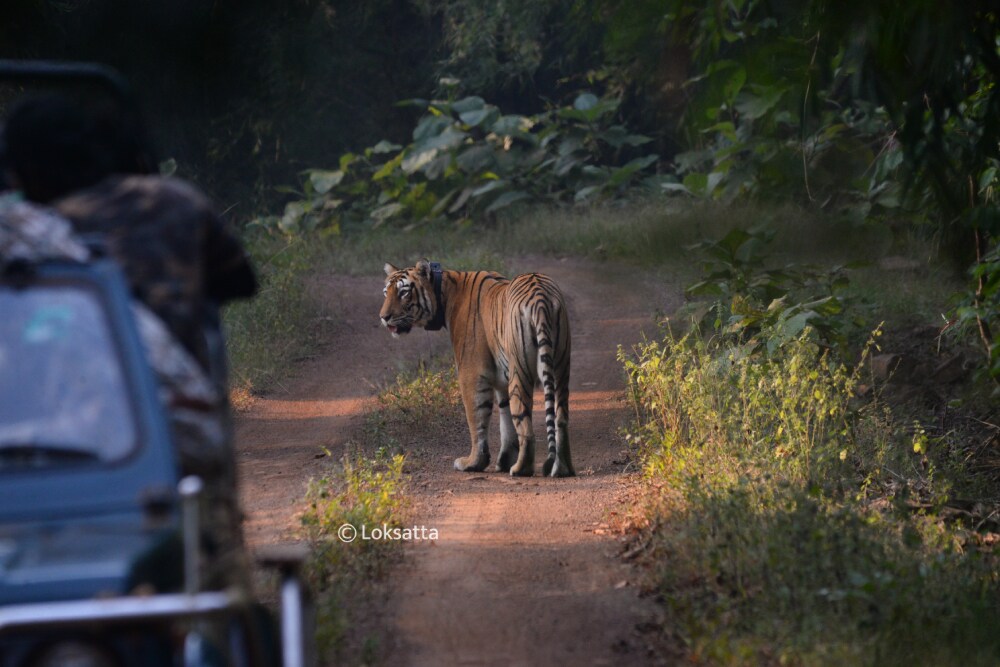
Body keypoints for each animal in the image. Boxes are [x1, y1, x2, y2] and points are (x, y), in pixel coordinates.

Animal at [378, 258, 576, 478]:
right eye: (386, 292)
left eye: (403, 292)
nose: (383, 317)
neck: (444, 292)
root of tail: (540, 297)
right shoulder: (501, 379)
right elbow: (505, 419)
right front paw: (504, 460)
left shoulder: (471, 373)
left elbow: (476, 419)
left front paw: (473, 462)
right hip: (561, 367)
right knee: (561, 419)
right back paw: (563, 468)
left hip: (520, 370)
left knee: (525, 424)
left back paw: (520, 469)